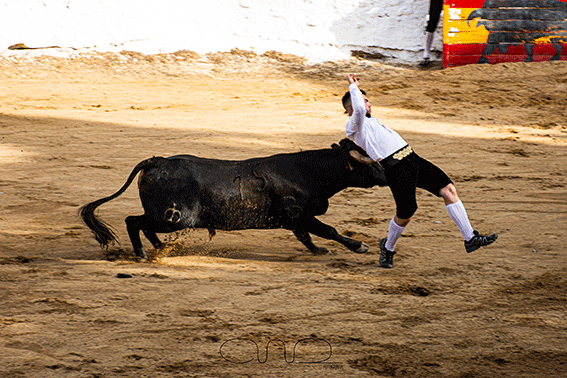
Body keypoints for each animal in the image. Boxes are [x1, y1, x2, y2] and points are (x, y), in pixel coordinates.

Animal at [80, 139, 388, 260]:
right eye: (369, 163)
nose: (387, 173)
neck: (308, 172)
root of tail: (156, 160)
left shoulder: (295, 220)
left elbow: (307, 236)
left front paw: (318, 251)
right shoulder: (298, 214)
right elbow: (328, 230)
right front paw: (359, 246)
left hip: (168, 218)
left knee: (143, 225)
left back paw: (160, 248)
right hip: (173, 217)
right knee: (133, 221)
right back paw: (143, 254)